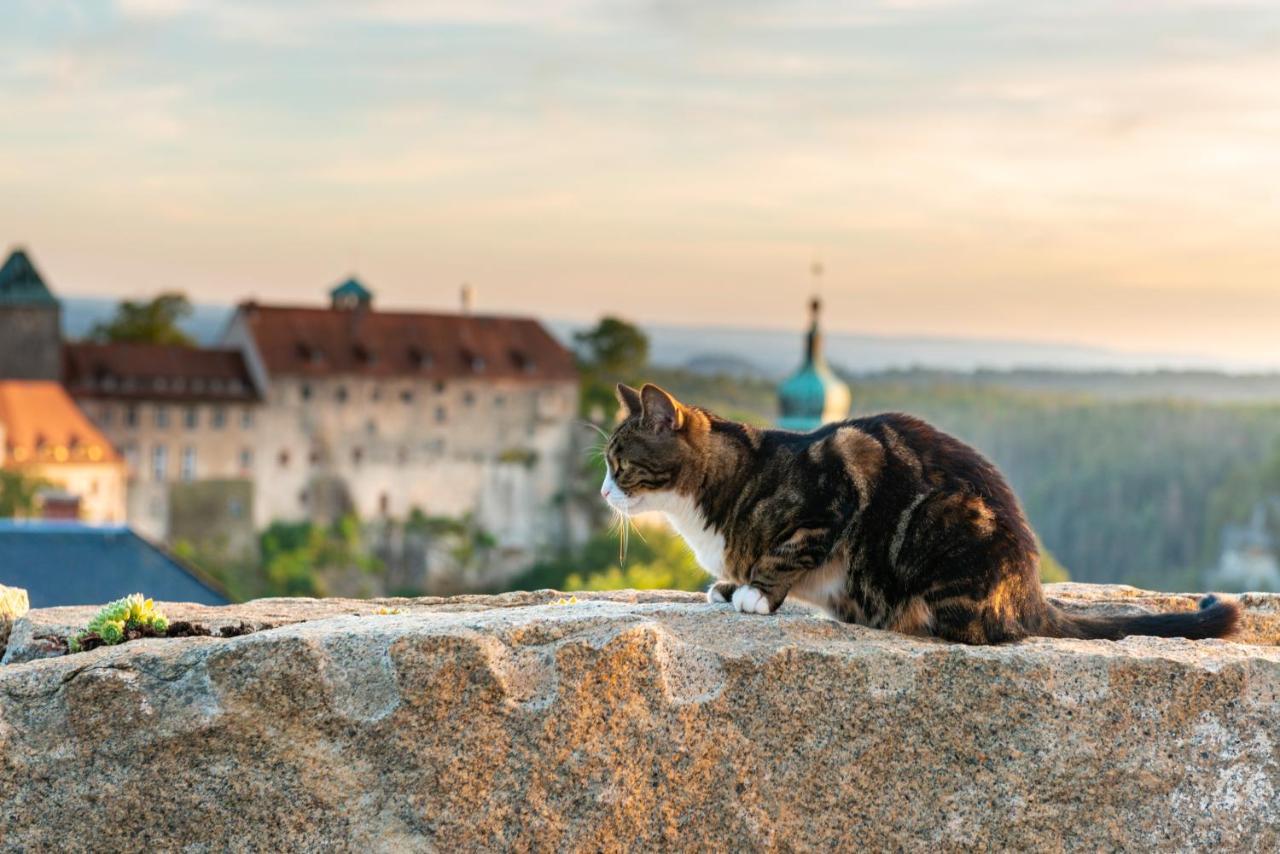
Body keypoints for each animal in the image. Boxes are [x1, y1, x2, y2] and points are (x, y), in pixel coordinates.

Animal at [601, 384, 1239, 645]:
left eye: (619, 463)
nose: (605, 493)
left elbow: (788, 553)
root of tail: (1030, 594)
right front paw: (729, 585)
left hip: (945, 524)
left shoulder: (833, 490)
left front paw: (754, 594)